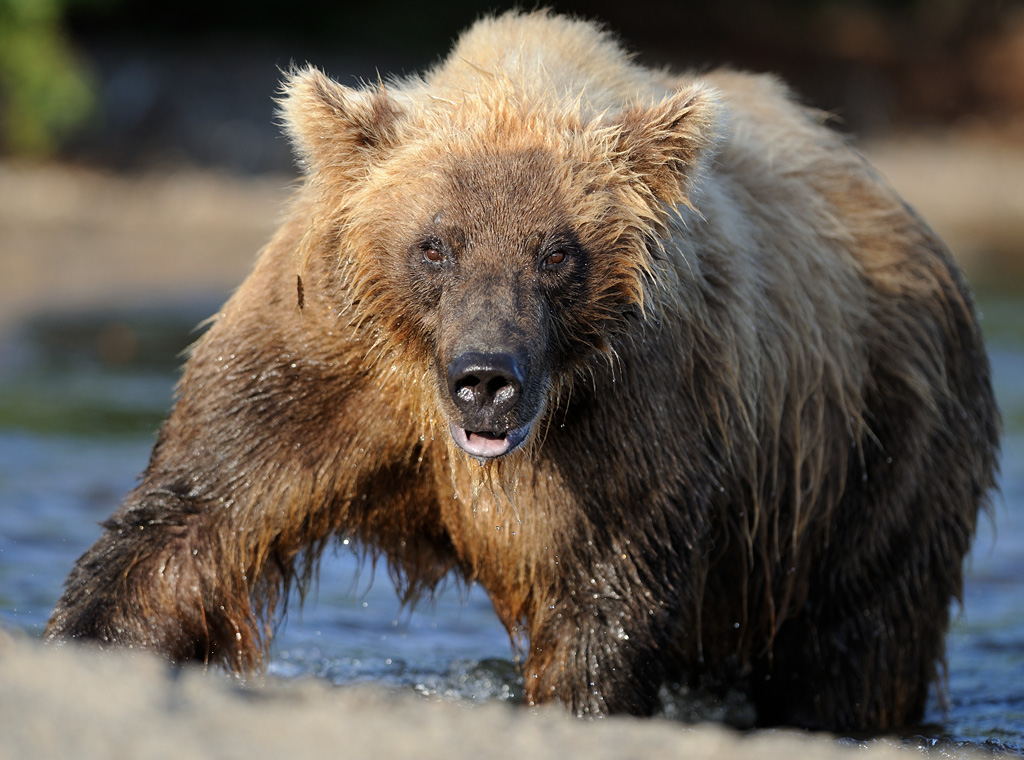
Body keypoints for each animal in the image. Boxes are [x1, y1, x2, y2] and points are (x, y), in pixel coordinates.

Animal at [46, 7, 999, 733]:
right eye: (435, 244)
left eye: (557, 252)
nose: (486, 377)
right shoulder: (321, 364)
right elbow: (188, 524)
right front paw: (89, 642)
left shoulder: (634, 414)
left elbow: (604, 596)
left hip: (871, 457)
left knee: (857, 644)